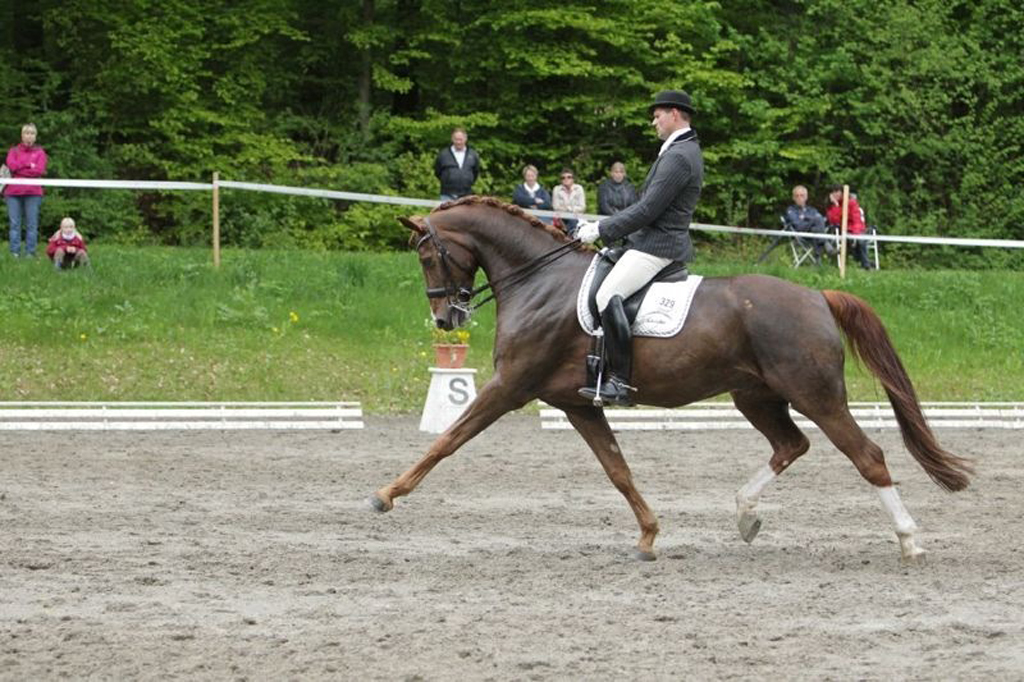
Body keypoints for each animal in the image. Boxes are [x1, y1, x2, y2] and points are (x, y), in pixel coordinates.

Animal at [370, 196, 973, 563]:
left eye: (427, 255)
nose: (446, 320)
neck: (540, 281)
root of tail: (818, 295)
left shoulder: (510, 386)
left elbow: (447, 441)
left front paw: (385, 495)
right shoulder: (579, 404)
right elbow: (617, 469)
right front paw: (648, 536)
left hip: (816, 395)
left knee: (866, 456)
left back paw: (909, 542)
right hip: (755, 396)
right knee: (790, 445)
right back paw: (745, 515)